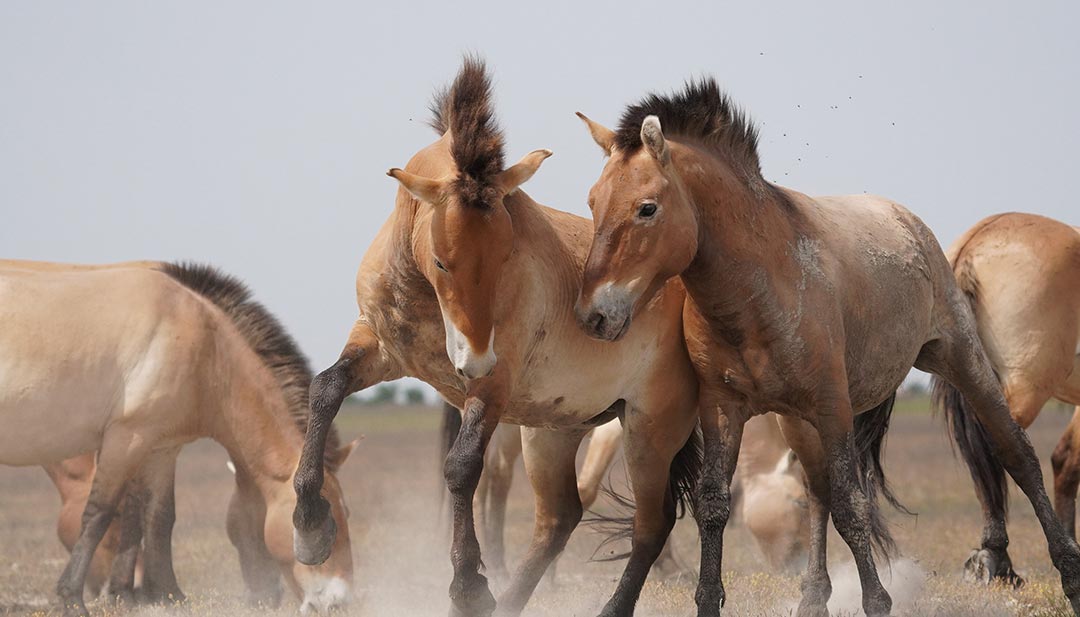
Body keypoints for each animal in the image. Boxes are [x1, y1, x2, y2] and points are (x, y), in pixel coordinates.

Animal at [0, 261, 356, 616]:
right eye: (324, 518)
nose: (339, 601)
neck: (206, 349)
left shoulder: (160, 448)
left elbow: (158, 517)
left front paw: (164, 595)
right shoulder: (125, 440)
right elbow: (99, 514)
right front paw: (73, 598)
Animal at [292, 58, 701, 617]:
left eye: (508, 252)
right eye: (442, 261)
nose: (474, 358)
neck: (424, 295)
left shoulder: (493, 386)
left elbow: (462, 468)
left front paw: (468, 586)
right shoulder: (379, 348)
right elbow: (325, 390)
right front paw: (311, 527)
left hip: (648, 428)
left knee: (651, 524)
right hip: (555, 428)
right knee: (559, 519)